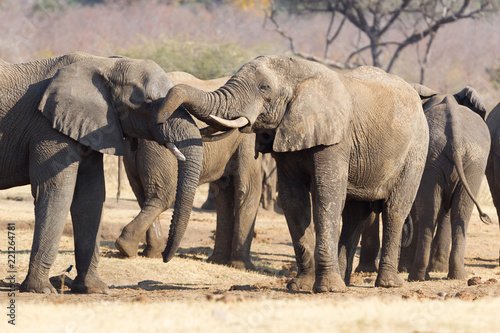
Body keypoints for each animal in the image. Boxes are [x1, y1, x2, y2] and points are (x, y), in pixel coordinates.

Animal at [0, 52, 203, 294]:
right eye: (148, 103)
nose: (164, 258)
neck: (105, 63)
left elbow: (91, 197)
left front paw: (94, 289)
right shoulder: (48, 129)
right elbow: (57, 191)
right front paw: (42, 290)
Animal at [113, 71, 262, 268]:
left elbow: (224, 191)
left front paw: (217, 261)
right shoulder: (247, 138)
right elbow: (248, 189)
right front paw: (243, 267)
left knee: (142, 194)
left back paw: (146, 252)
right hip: (160, 151)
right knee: (163, 196)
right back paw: (132, 249)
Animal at [154, 54, 428, 290]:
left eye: (264, 87)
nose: (160, 118)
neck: (301, 73)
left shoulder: (336, 138)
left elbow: (327, 195)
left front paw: (326, 290)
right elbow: (293, 200)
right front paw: (301, 286)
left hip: (416, 151)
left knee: (395, 210)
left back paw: (387, 284)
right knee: (354, 214)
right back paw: (345, 282)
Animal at [356, 83, 492, 280]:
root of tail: (455, 131)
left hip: (452, 158)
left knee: (434, 211)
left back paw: (417, 275)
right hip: (470, 161)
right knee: (456, 211)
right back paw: (452, 276)